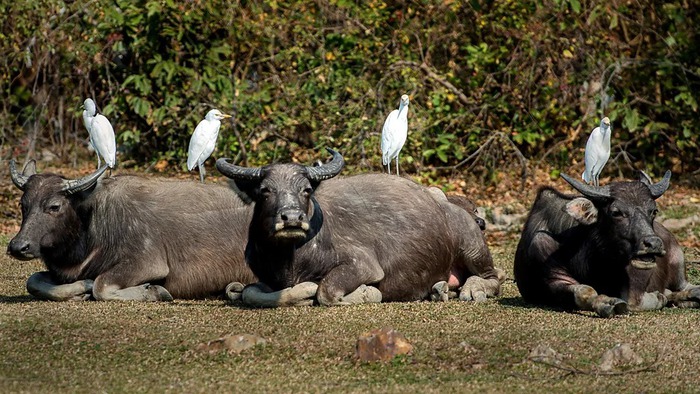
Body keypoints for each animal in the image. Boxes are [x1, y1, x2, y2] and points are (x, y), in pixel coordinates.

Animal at [6, 160, 256, 302]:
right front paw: (80, 289)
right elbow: (33, 281)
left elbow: (101, 286)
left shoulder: (147, 263)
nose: (18, 246)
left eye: (54, 206)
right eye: (23, 204)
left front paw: (154, 292)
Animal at [215, 149, 504, 306]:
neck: (291, 257)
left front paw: (366, 293)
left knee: (494, 276)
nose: (292, 218)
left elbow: (327, 291)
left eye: (306, 190)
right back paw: (440, 289)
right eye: (265, 191)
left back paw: (472, 289)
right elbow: (247, 292)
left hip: (471, 246)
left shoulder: (362, 265)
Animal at [512, 172, 696, 318]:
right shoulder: (553, 275)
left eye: (654, 211)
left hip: (678, 263)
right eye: (616, 212)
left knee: (685, 286)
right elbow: (585, 291)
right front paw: (608, 303)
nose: (654, 243)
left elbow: (633, 300)